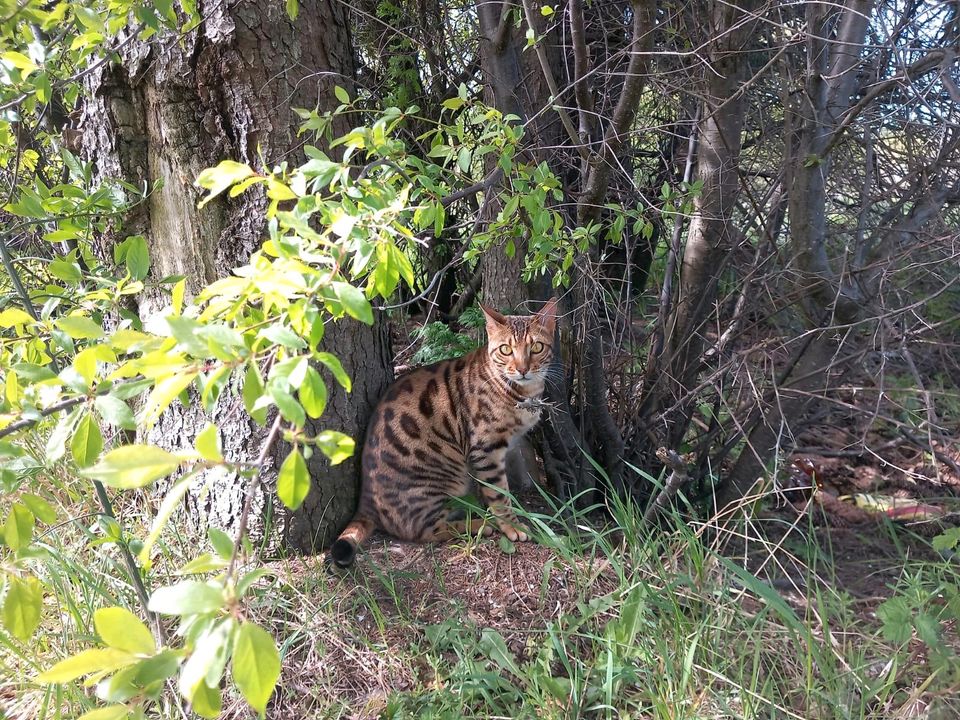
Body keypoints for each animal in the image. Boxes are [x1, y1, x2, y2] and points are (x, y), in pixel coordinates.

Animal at [326, 296, 560, 564]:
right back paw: (478, 525)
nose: (522, 369)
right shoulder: (485, 447)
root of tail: (365, 502)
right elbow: (499, 493)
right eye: (505, 350)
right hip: (437, 485)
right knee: (425, 531)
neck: (522, 393)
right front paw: (512, 526)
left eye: (537, 347)